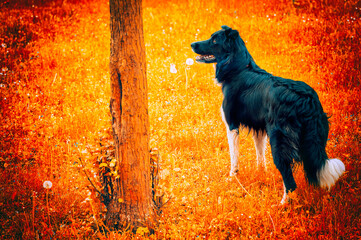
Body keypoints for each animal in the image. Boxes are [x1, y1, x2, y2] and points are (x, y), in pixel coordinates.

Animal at [190, 25, 344, 203]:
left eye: (214, 40)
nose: (192, 44)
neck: (238, 68)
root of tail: (306, 99)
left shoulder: (232, 125)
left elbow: (234, 156)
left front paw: (232, 177)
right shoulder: (259, 126)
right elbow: (260, 154)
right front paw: (261, 173)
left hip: (279, 141)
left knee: (289, 179)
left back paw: (283, 204)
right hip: (314, 139)